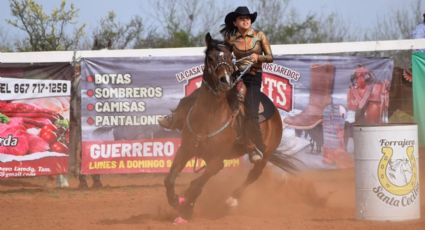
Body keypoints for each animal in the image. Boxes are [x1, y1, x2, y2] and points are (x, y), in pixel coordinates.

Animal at [164, 32, 284, 223]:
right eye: (210, 58)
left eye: (229, 57)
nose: (225, 80)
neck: (208, 116)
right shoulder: (186, 149)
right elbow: (169, 179)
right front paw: (177, 201)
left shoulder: (217, 162)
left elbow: (196, 184)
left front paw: (186, 207)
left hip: (267, 152)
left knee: (255, 173)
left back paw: (231, 199)